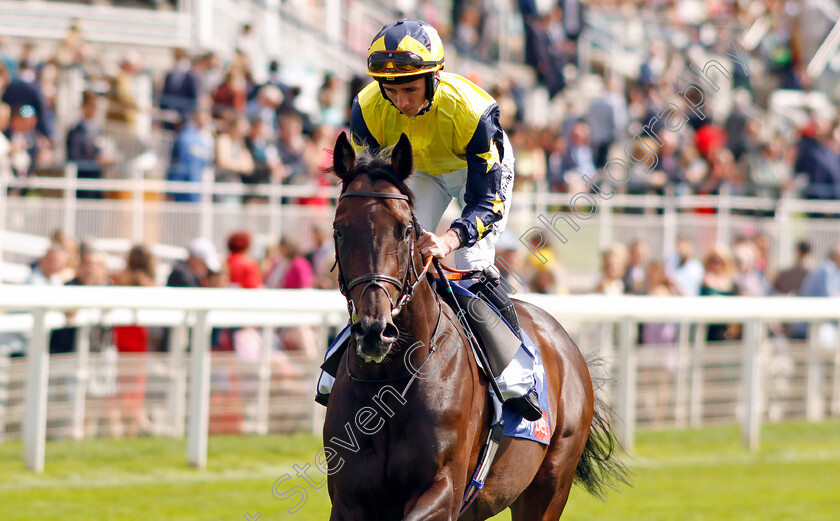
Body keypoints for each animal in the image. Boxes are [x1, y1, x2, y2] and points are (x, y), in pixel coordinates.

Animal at [324, 132, 624, 520]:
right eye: (339, 230)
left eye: (405, 230)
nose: (376, 331)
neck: (390, 380)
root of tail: (566, 345)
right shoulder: (348, 499)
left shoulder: (444, 490)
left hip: (550, 485)